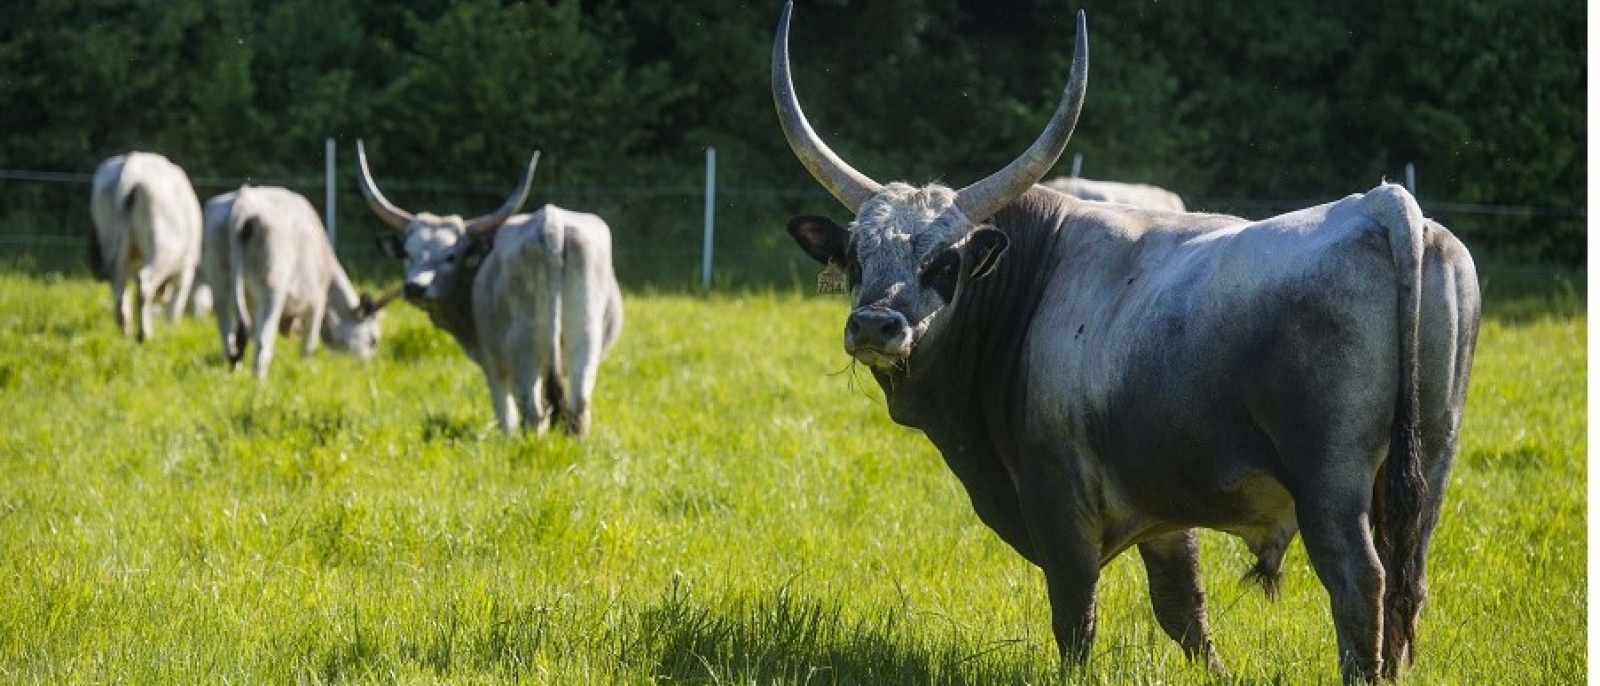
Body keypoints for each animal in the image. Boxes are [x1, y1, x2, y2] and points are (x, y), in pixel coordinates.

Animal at [200, 185, 393, 378]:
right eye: (373, 340)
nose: (365, 367)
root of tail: (243, 203)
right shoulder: (316, 302)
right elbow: (308, 346)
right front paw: (307, 371)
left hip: (220, 288)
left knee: (230, 340)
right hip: (273, 290)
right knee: (262, 343)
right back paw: (259, 382)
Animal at [356, 141, 624, 434]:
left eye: (451, 256)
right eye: (407, 253)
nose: (415, 287)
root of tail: (552, 223)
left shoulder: (492, 364)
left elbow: (505, 414)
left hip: (522, 347)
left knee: (531, 411)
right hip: (585, 335)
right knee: (578, 405)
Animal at [768, 3, 1478, 678]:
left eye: (944, 263)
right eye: (855, 257)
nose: (875, 326)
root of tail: (1380, 206)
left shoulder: (1059, 496)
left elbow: (1075, 614)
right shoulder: (1163, 510)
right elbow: (1182, 606)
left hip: (1329, 482)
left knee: (1359, 581)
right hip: (1429, 464)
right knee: (1406, 582)